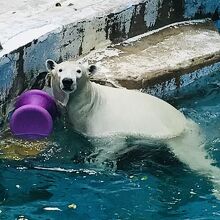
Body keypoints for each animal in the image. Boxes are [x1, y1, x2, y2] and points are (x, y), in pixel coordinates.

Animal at [45, 58, 220, 198]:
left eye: (79, 71)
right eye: (60, 70)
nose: (67, 81)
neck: (92, 102)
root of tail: (189, 124)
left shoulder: (105, 128)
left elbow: (111, 147)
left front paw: (97, 163)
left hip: (180, 138)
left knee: (194, 159)